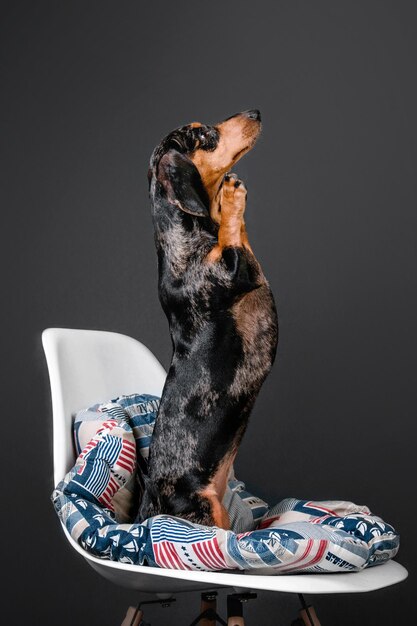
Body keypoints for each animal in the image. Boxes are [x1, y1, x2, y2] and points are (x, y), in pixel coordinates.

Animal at [138, 108, 278, 528]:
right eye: (203, 135)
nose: (255, 112)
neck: (181, 242)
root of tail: (148, 509)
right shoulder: (237, 269)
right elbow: (233, 232)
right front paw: (231, 197)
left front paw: (228, 195)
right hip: (206, 511)